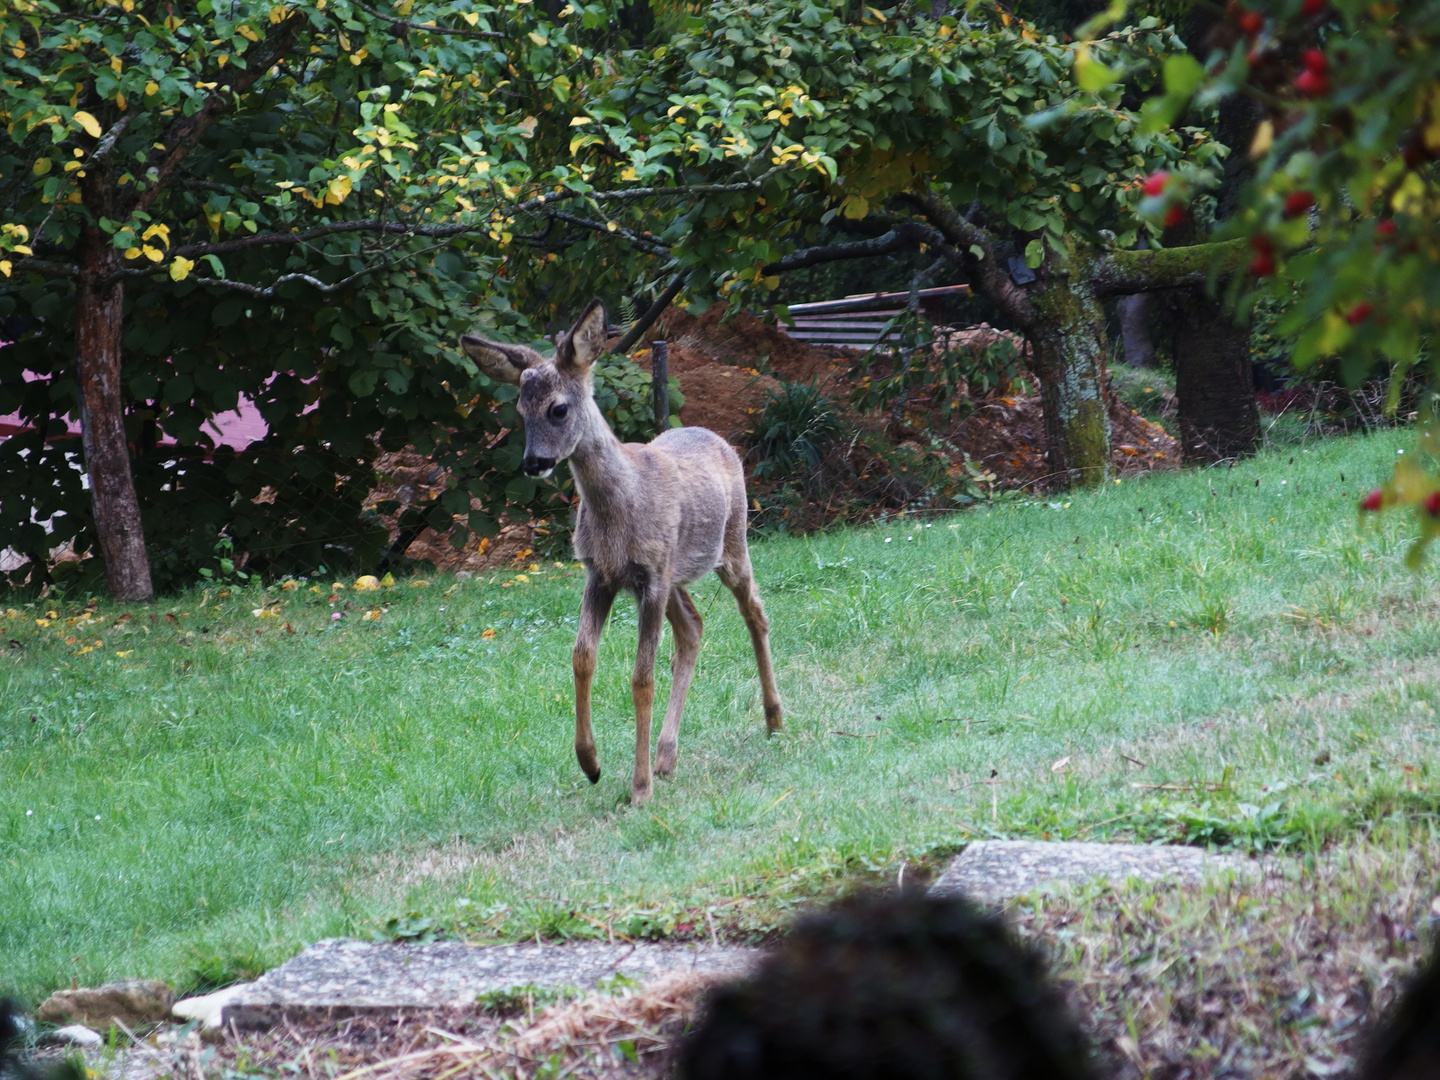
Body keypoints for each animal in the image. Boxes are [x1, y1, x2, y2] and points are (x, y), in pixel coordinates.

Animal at [460, 296, 783, 806]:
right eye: (519, 410)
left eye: (558, 408)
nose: (533, 463)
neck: (619, 507)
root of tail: (717, 437)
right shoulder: (602, 573)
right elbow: (581, 657)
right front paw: (590, 763)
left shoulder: (649, 577)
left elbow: (641, 679)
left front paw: (639, 788)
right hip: (672, 575)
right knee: (693, 629)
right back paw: (667, 755)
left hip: (731, 544)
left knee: (755, 612)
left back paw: (774, 720)